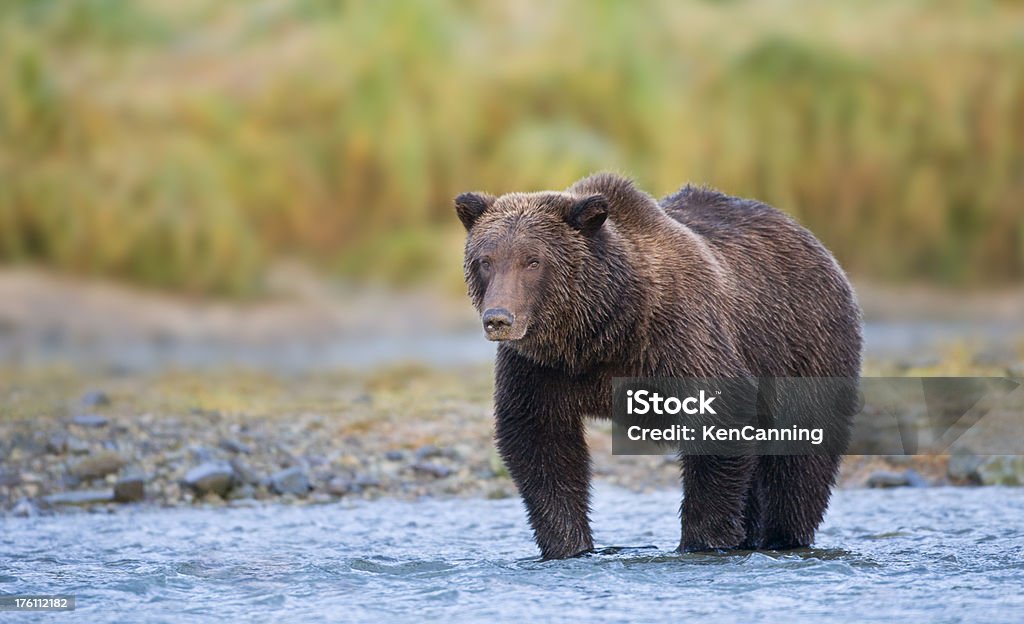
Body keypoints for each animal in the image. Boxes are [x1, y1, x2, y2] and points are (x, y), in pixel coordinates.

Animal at [456, 171, 864, 561]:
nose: (499, 318)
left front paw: (702, 542)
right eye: (486, 260)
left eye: (533, 260)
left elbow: (720, 426)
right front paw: (569, 546)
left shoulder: (680, 340)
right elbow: (540, 443)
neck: (603, 331)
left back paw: (784, 537)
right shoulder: (541, 369)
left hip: (805, 346)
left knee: (800, 460)